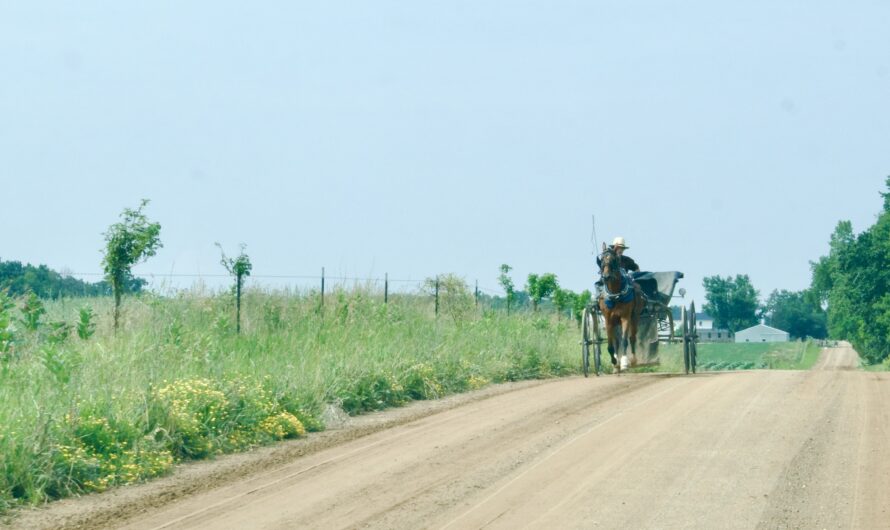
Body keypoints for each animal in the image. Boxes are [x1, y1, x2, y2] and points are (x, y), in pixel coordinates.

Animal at [596, 242, 644, 370]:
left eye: (613, 260)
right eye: (601, 260)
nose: (606, 276)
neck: (615, 295)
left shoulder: (625, 317)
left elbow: (625, 340)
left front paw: (624, 362)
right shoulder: (608, 320)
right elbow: (610, 344)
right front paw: (614, 362)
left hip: (635, 317)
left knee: (632, 338)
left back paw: (633, 359)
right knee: (617, 341)